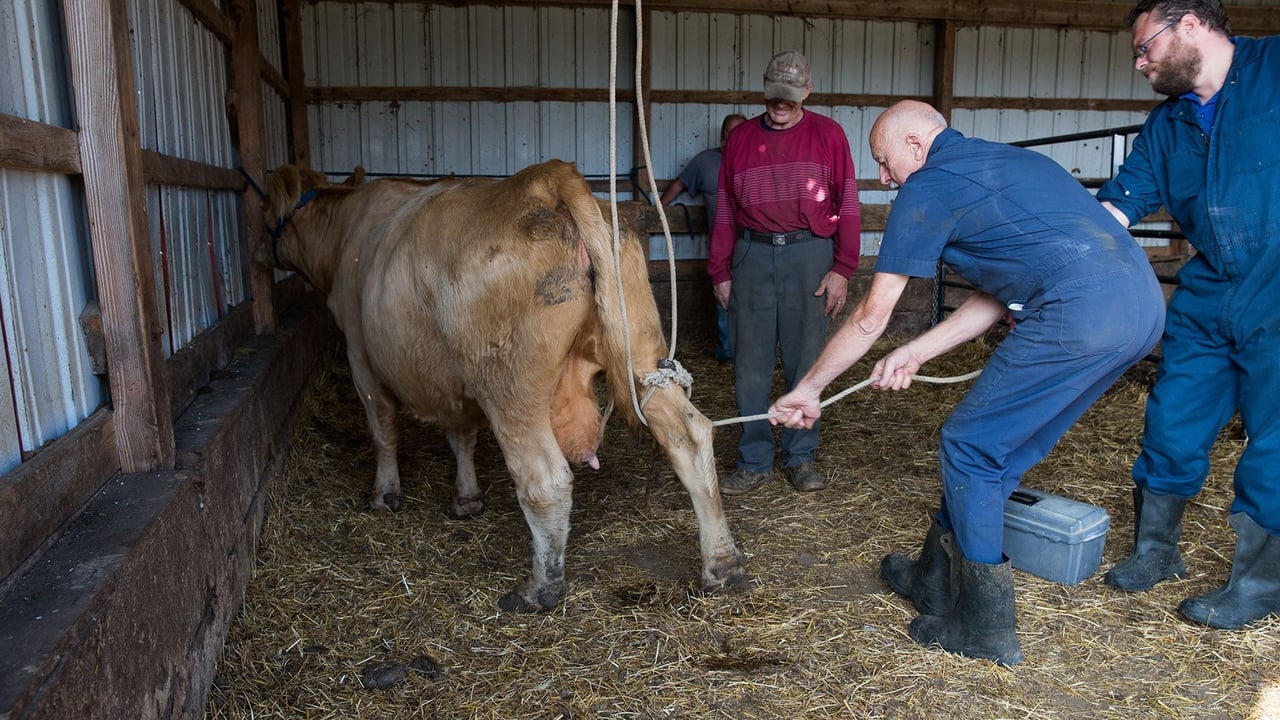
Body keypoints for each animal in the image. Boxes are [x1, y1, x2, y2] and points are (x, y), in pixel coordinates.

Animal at [261, 159, 747, 607]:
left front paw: (385, 493)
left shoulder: (360, 355)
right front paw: (467, 498)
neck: (345, 232)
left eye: (268, 210)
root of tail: (544, 179)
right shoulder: (451, 376)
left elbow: (383, 430)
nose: (267, 255)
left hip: (510, 388)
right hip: (641, 356)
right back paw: (722, 565)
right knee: (689, 434)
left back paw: (540, 588)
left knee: (545, 478)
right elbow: (460, 435)